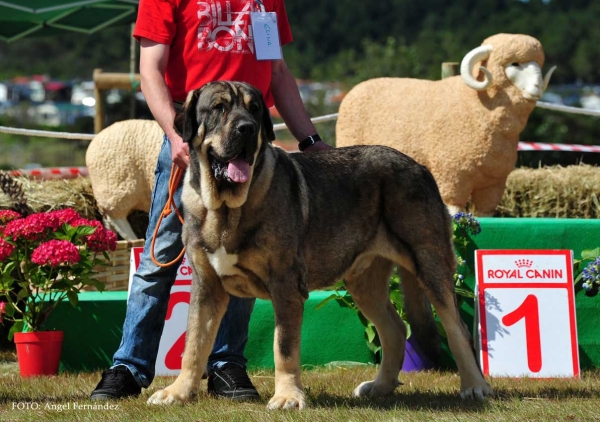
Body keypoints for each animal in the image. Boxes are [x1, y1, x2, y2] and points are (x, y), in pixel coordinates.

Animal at [149, 81, 492, 408]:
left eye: (255, 109)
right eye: (218, 108)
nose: (247, 128)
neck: (225, 208)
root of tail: (419, 166)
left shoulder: (285, 285)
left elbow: (284, 347)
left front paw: (288, 396)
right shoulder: (207, 286)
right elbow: (194, 344)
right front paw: (178, 392)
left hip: (429, 263)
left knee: (456, 329)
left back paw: (475, 386)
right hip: (364, 283)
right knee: (395, 330)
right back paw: (379, 386)